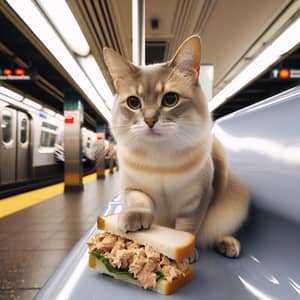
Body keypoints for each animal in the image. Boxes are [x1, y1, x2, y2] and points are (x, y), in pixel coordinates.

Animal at [104, 35, 250, 258]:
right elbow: (140, 202)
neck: (160, 160)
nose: (150, 120)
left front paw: (185, 252)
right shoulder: (133, 188)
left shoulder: (196, 199)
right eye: (133, 102)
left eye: (170, 99)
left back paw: (227, 243)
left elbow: (187, 227)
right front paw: (134, 219)